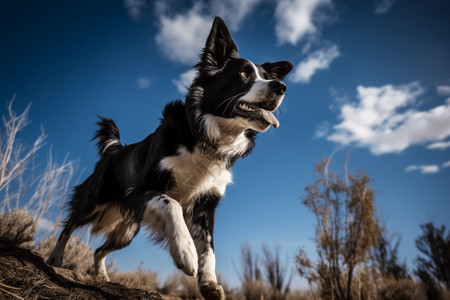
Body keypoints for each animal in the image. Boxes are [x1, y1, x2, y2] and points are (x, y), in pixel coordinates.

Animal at [48, 17, 292, 300]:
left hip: (127, 230)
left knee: (99, 250)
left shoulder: (205, 204)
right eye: (243, 74)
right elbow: (171, 204)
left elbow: (209, 247)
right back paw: (55, 257)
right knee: (69, 224)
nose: (281, 87)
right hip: (95, 200)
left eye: (267, 77)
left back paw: (101, 276)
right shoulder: (142, 189)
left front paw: (208, 283)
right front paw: (186, 254)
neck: (206, 138)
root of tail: (115, 149)